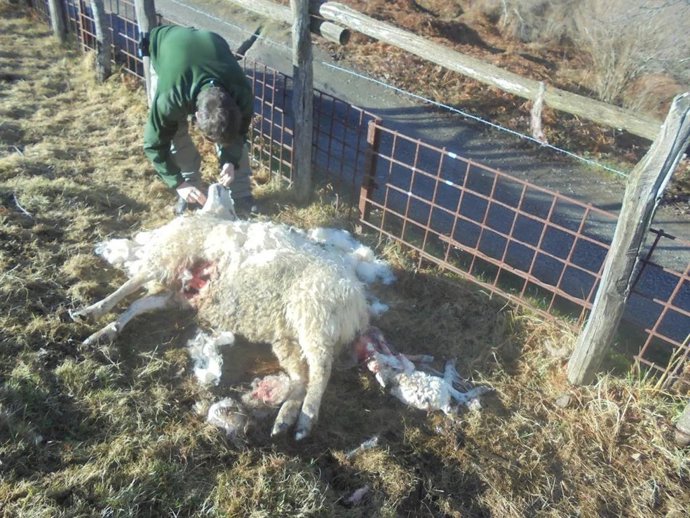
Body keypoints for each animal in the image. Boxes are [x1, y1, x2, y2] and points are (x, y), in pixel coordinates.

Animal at [71, 184, 386, 440]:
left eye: (233, 206)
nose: (221, 185)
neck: (209, 220)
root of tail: (357, 302)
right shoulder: (176, 293)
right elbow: (136, 305)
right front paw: (105, 332)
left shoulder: (166, 261)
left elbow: (125, 289)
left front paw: (90, 312)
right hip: (289, 335)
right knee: (301, 376)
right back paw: (286, 418)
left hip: (314, 316)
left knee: (320, 370)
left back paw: (305, 420)